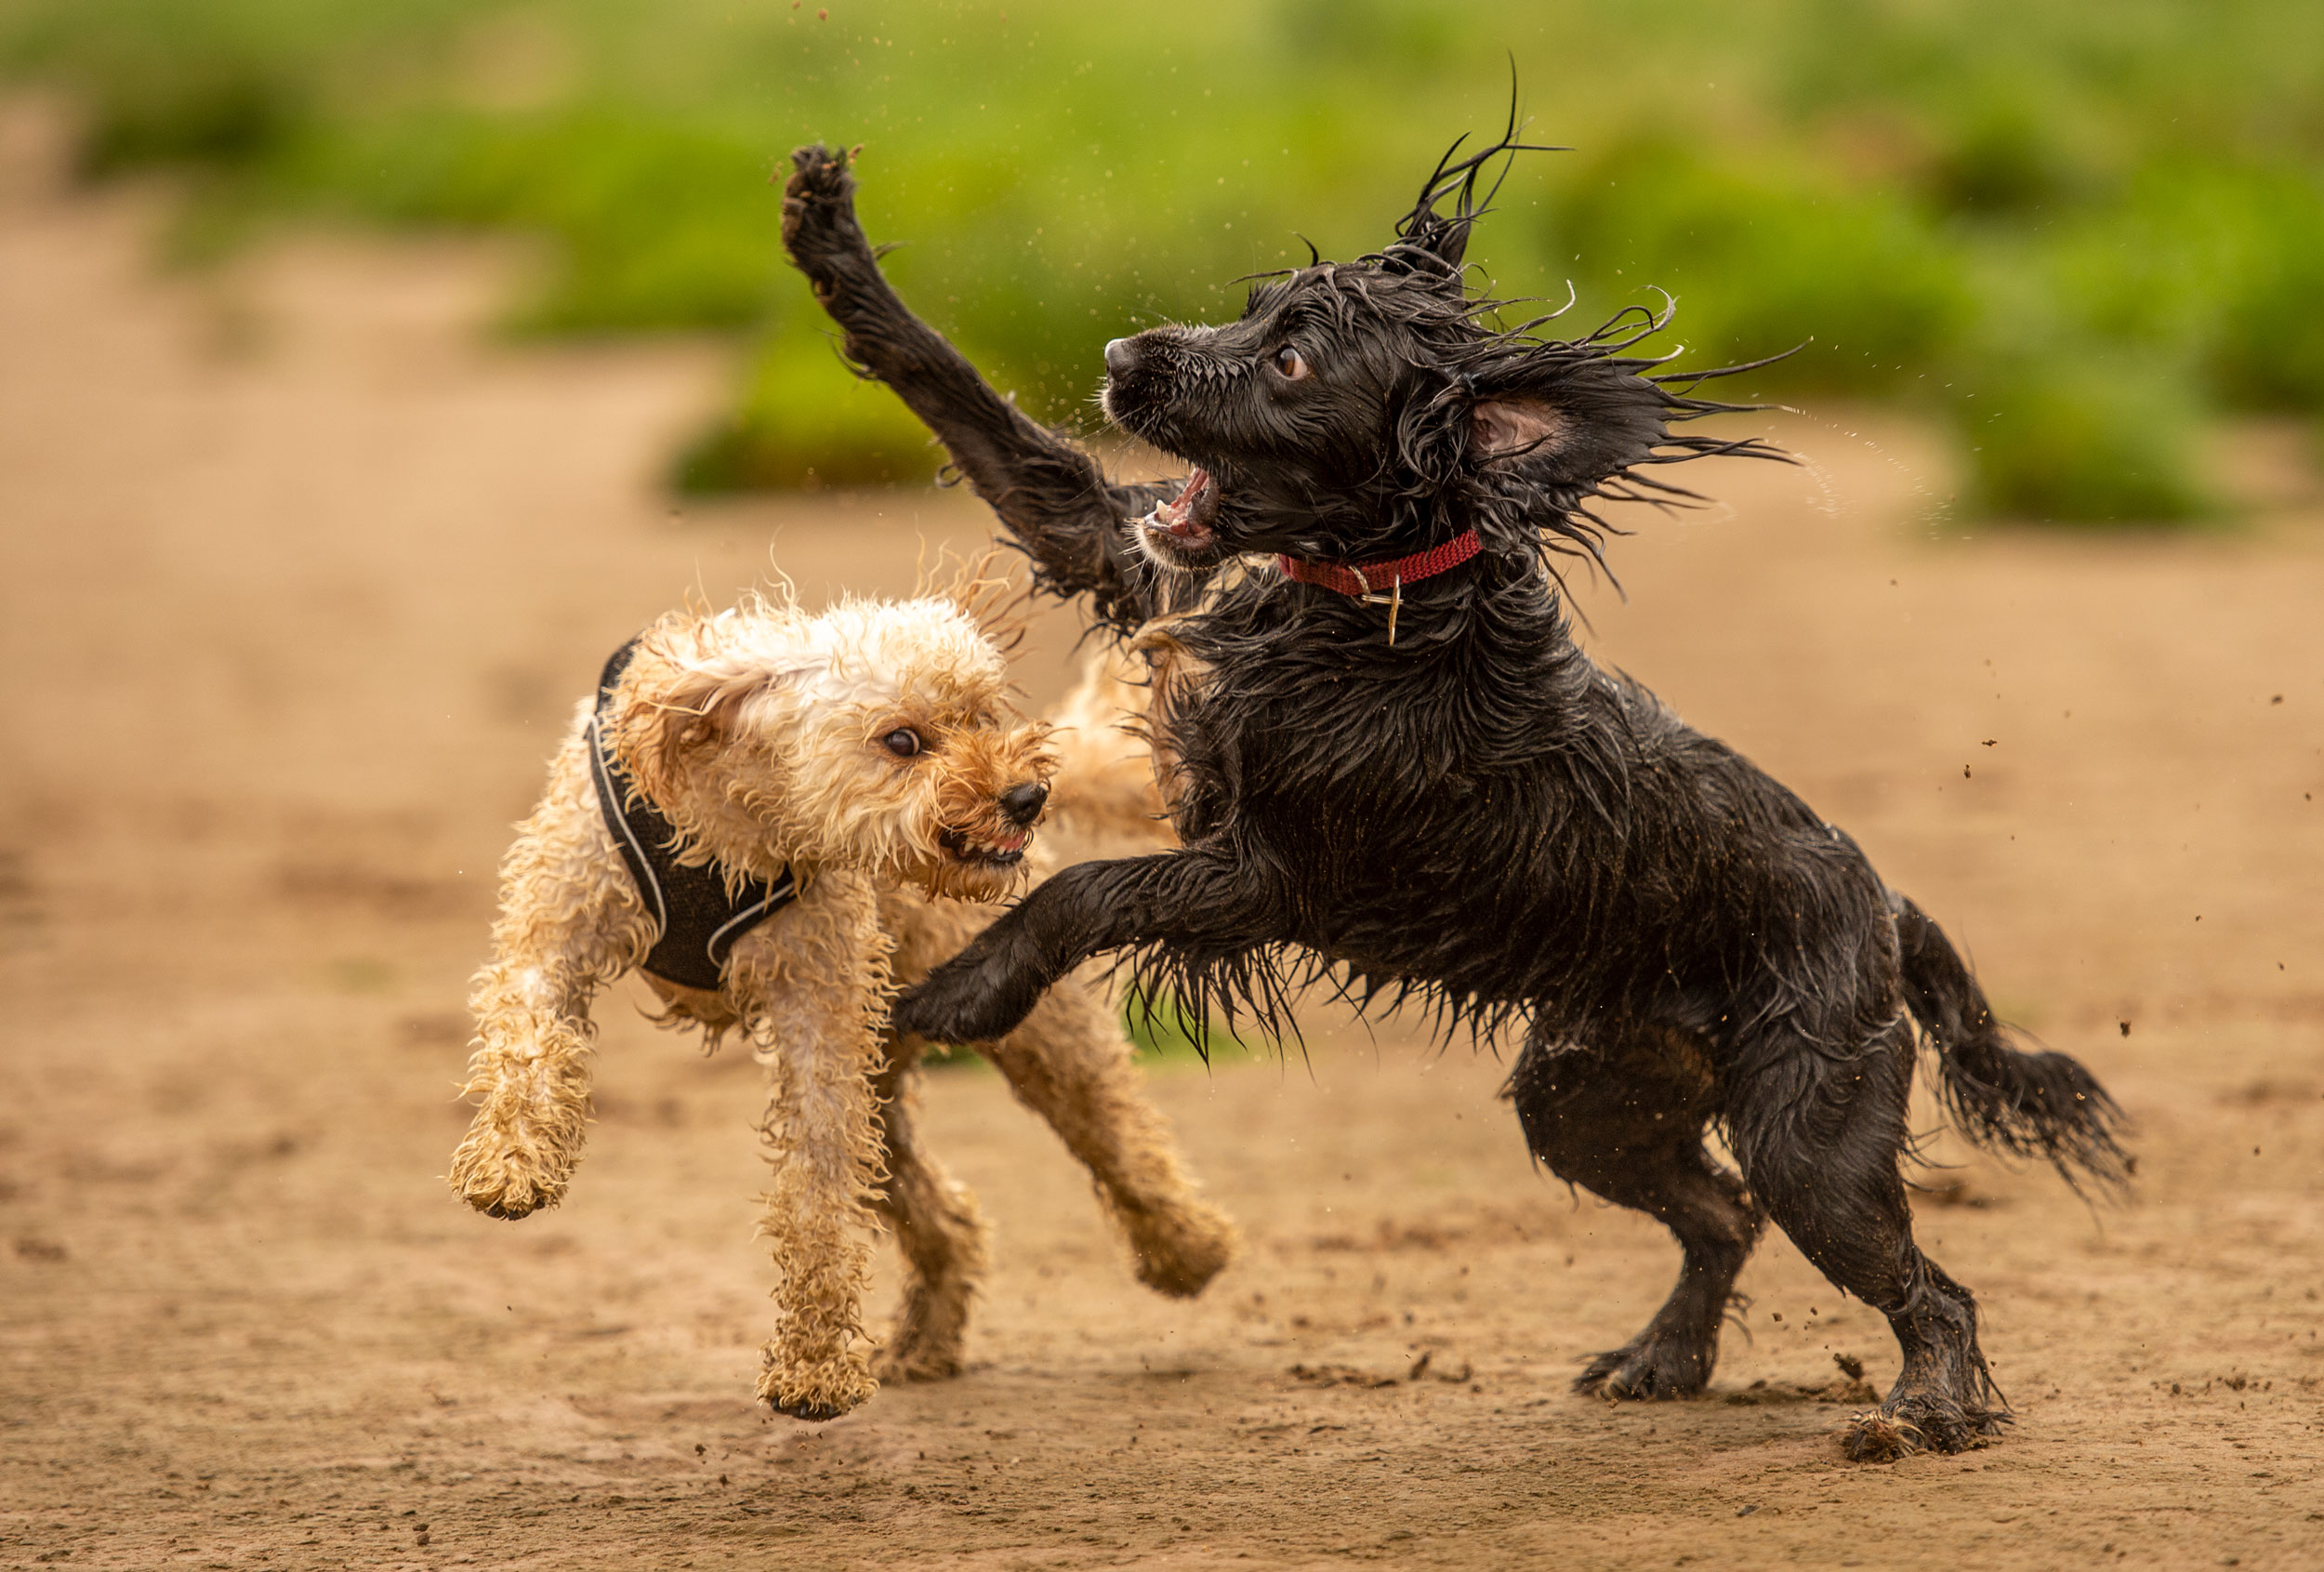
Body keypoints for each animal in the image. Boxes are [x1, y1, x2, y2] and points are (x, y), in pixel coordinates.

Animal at [448, 590, 1236, 1422]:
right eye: (903, 740)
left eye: (982, 715)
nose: (1027, 797)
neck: (735, 823)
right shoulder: (554, 929)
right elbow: (530, 1041)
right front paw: (510, 1163)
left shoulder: (818, 1010)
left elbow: (819, 1187)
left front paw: (815, 1369)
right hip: (888, 1085)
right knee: (951, 1219)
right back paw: (926, 1341)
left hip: (1032, 1036)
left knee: (1122, 1140)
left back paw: (1190, 1249)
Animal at [781, 138, 2129, 1460]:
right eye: (1252, 309)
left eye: (1290, 360)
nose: (1120, 360)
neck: (1365, 604)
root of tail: (1887, 904)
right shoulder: (1141, 567)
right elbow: (986, 418)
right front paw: (831, 243)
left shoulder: (1270, 874)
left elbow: (1085, 892)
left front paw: (962, 988)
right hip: (1585, 1090)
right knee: (1722, 1213)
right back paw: (1662, 1358)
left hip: (1809, 1122)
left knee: (1919, 1280)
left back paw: (1927, 1409)